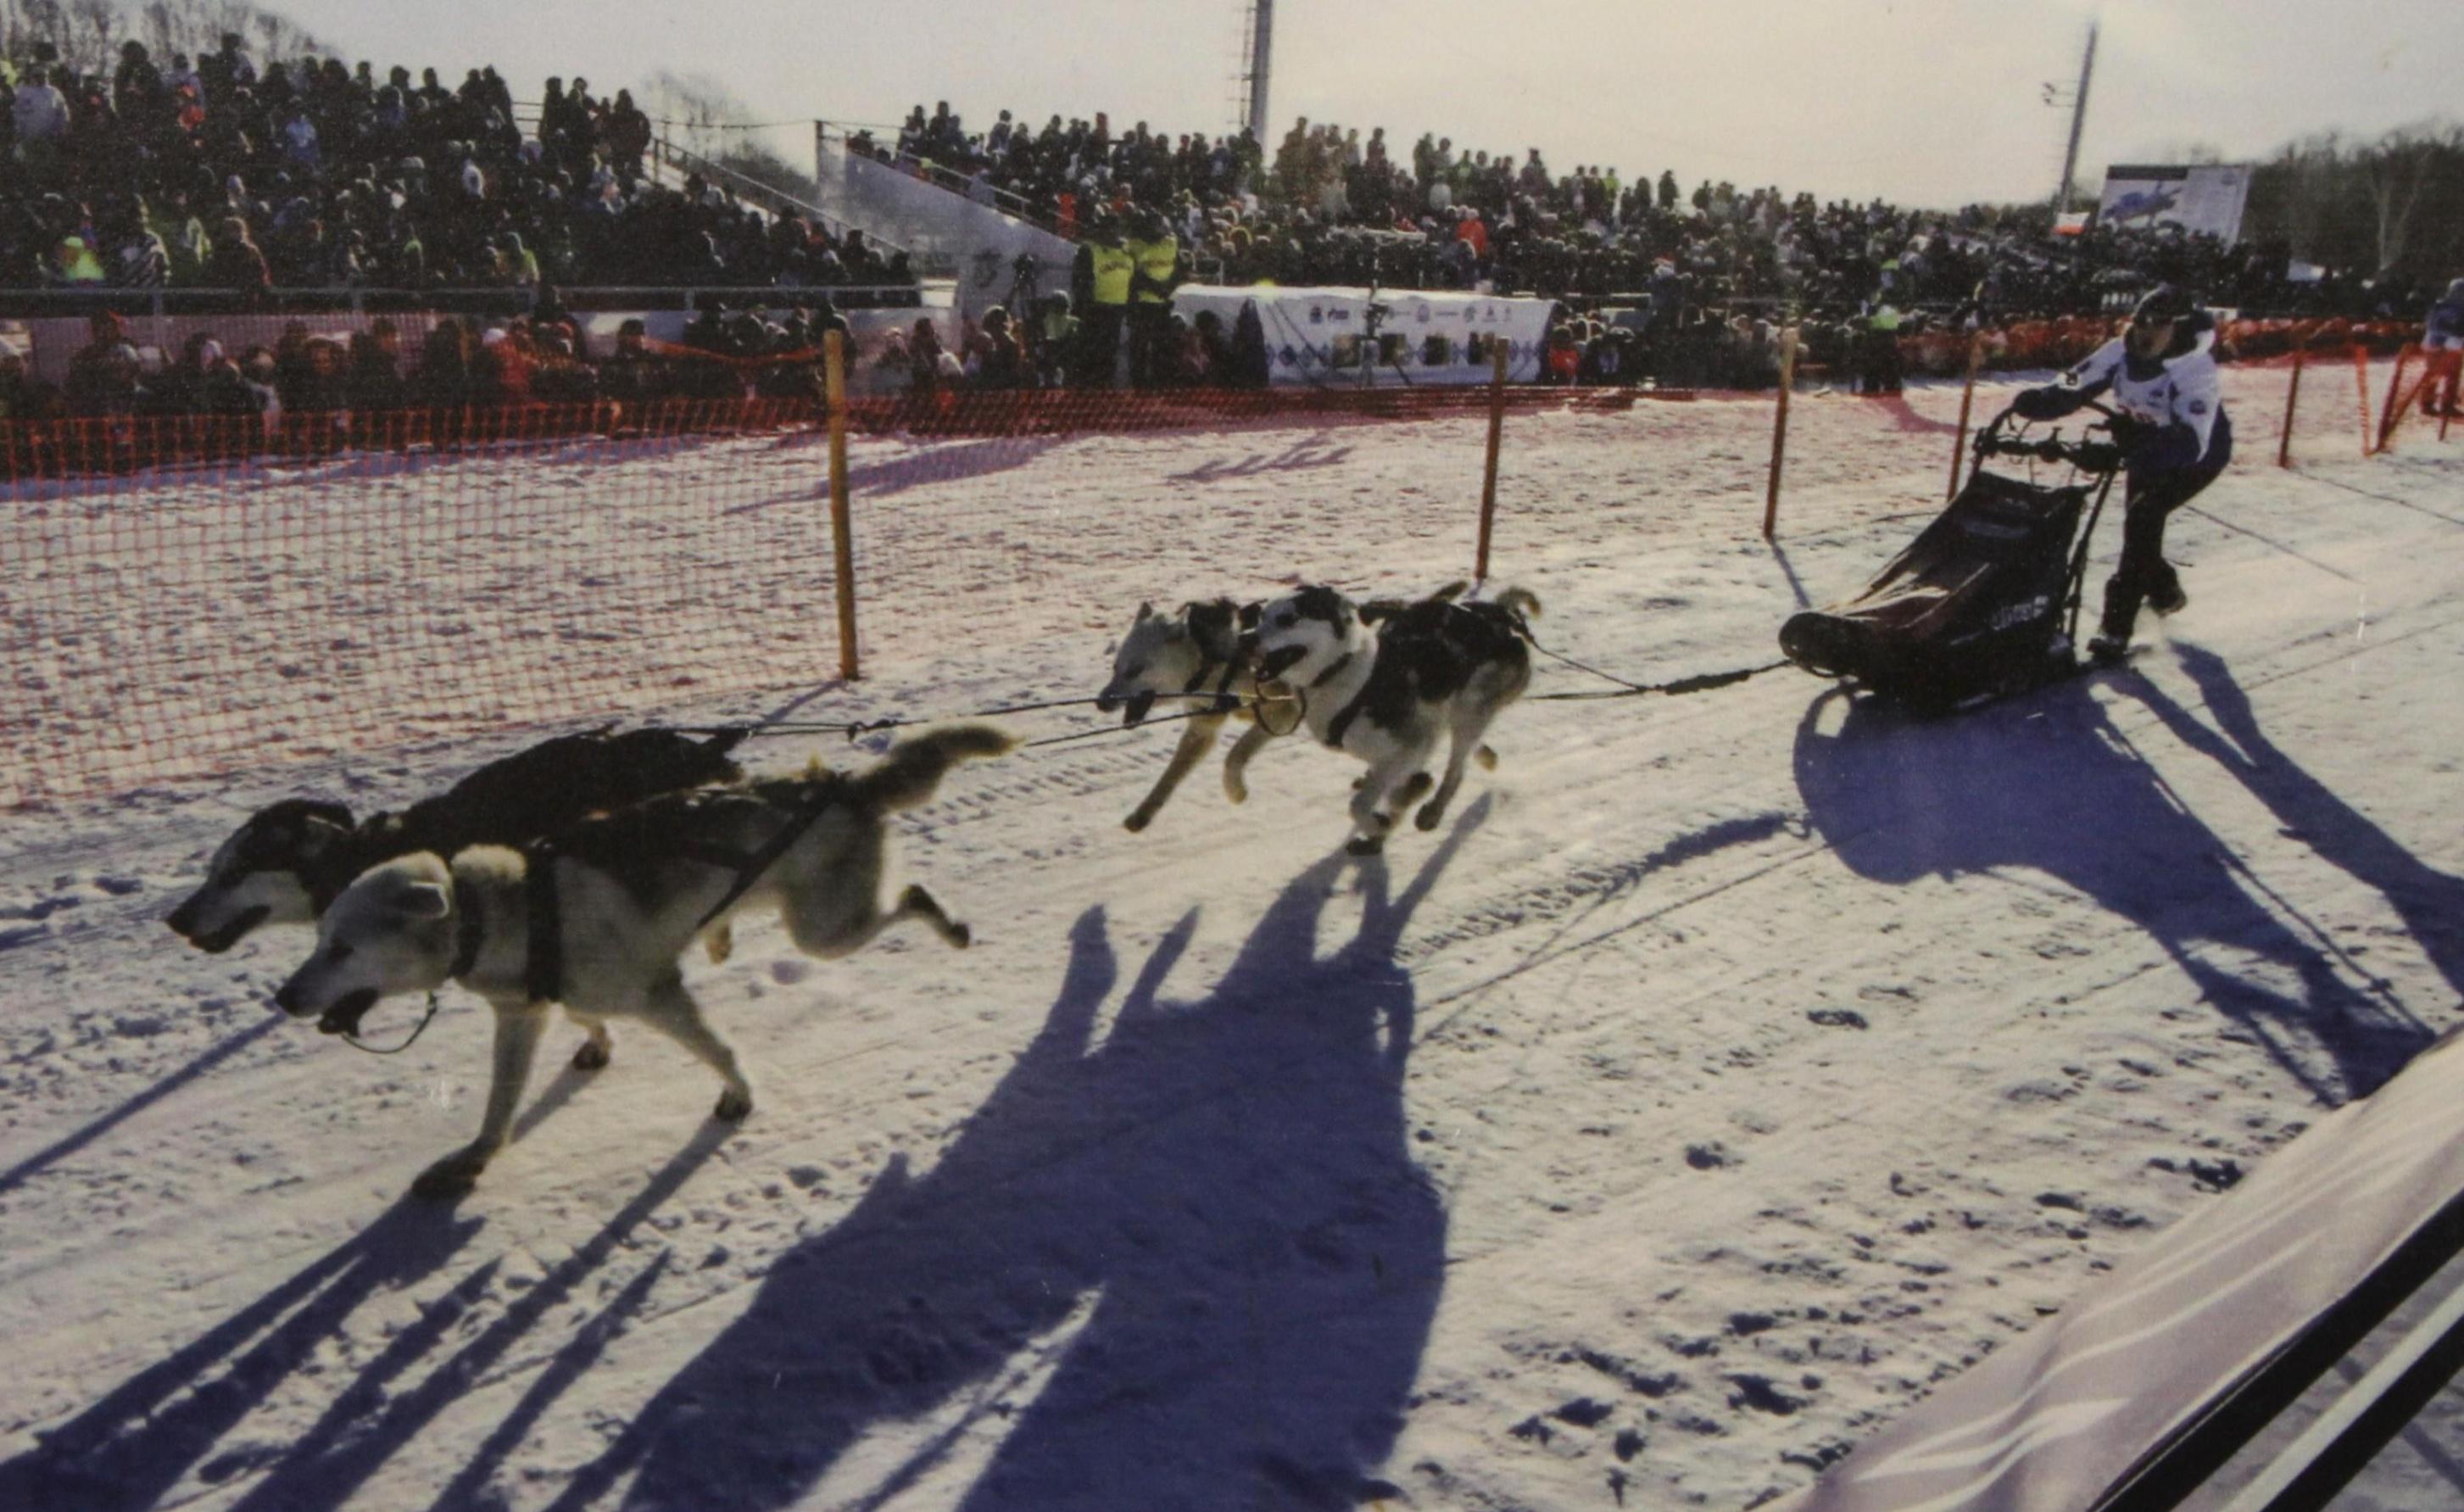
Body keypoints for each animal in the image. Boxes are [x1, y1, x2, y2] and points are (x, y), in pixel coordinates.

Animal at [269, 724, 1012, 1197]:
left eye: (341, 947)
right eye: (319, 938)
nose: (283, 997)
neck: (508, 907)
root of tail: (842, 784)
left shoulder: (657, 996)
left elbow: (718, 1049)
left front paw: (738, 1093)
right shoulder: (527, 1011)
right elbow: (504, 1103)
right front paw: (473, 1158)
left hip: (825, 931)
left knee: (912, 896)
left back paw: (949, 924)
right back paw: (718, 935)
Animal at [1251, 585, 1537, 854]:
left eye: (1288, 619)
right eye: (1262, 616)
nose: (1246, 640)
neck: (1348, 674)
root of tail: (1502, 620)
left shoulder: (1407, 749)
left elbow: (1359, 805)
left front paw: (1379, 824)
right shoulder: (1401, 752)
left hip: (1468, 712)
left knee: (1456, 770)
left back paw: (1432, 811)